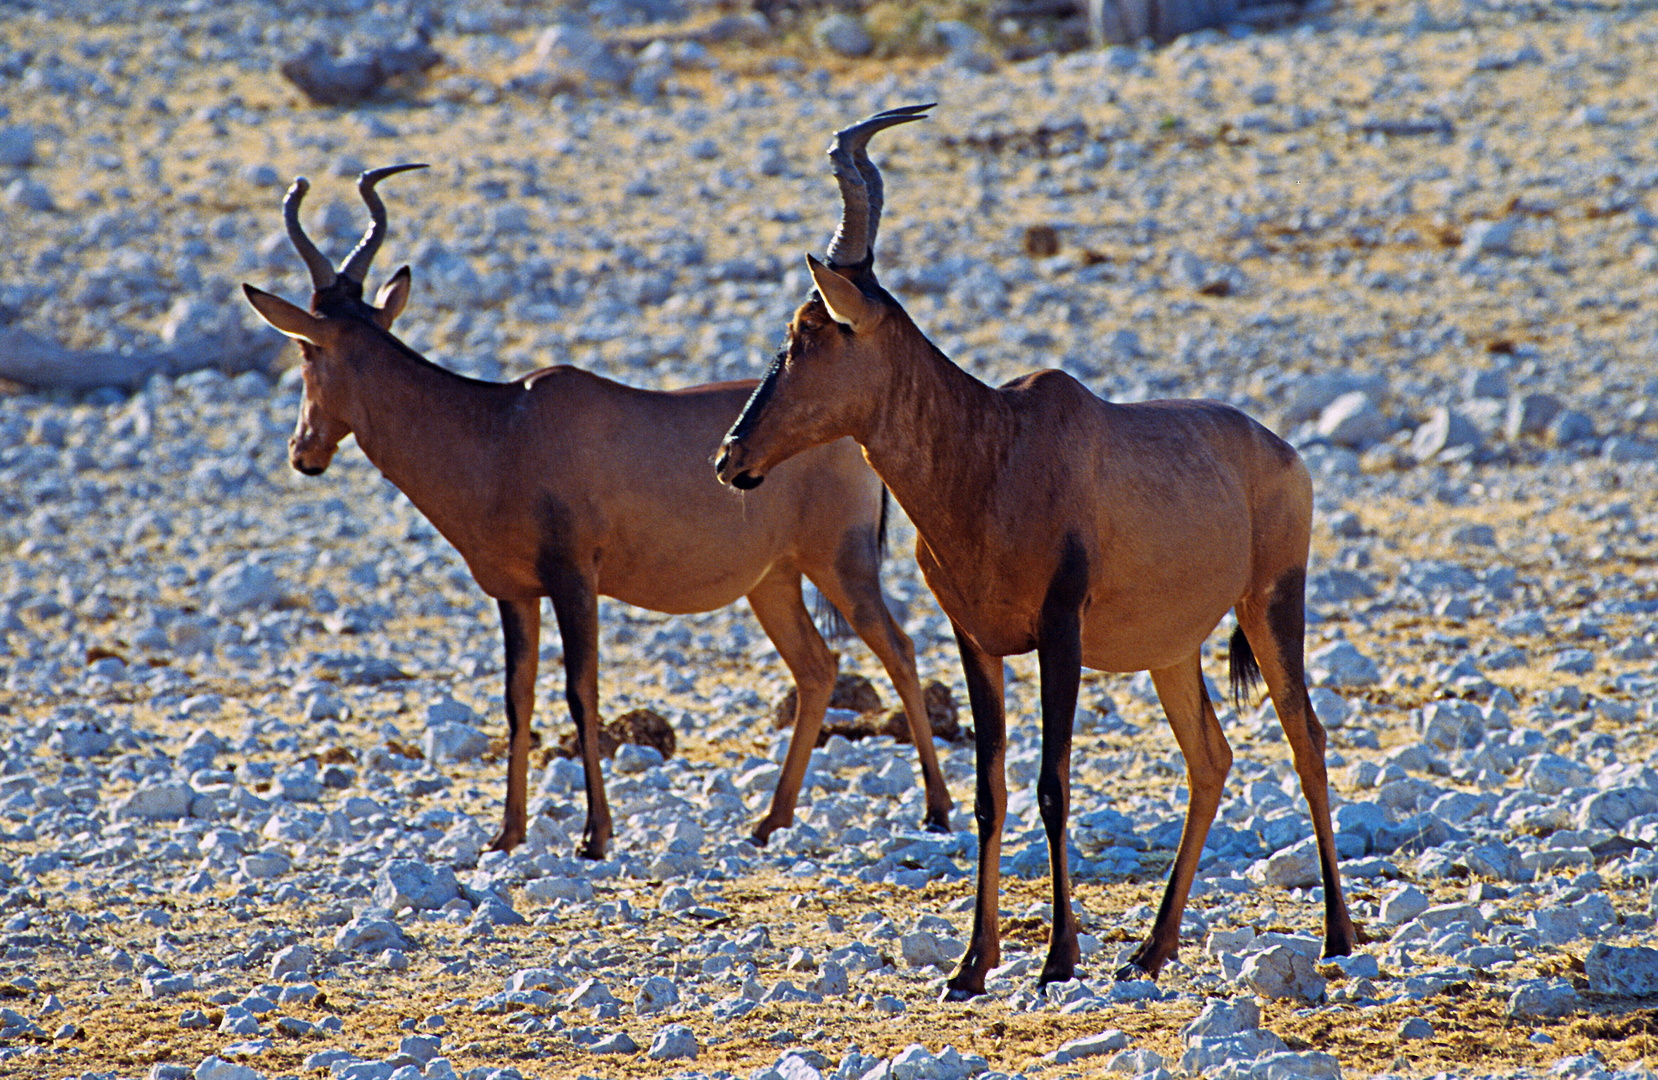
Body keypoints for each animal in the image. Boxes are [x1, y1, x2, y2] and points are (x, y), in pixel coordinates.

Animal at [240, 165, 955, 856]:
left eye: (306, 348)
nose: (304, 451)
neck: (503, 425)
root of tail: (853, 438)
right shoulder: (514, 593)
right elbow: (518, 699)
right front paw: (506, 834)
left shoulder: (574, 581)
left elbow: (581, 693)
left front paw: (595, 836)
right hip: (771, 583)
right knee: (817, 668)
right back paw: (769, 822)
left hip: (841, 564)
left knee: (898, 649)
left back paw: (938, 810)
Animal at [709, 105, 1346, 1002]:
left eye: (808, 333)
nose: (730, 457)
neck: (997, 447)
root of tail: (1283, 451)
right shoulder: (975, 641)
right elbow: (989, 791)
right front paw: (971, 966)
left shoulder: (1060, 635)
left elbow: (1052, 785)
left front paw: (1055, 958)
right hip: (1172, 649)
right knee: (1211, 759)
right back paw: (1151, 950)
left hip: (1272, 605)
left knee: (1306, 738)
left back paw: (1338, 937)